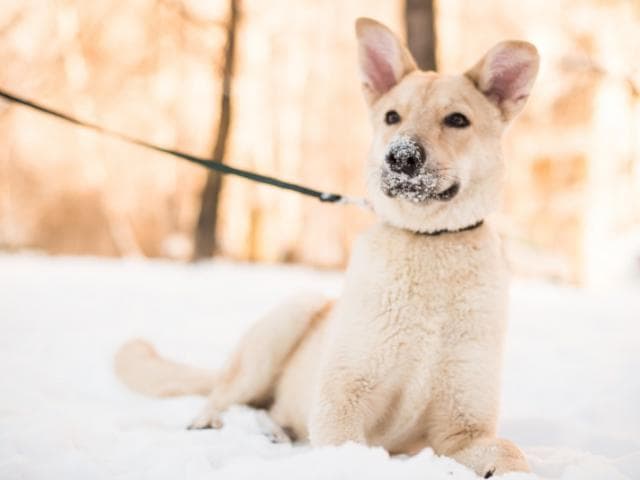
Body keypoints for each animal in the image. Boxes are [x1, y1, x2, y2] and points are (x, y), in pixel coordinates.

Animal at [116, 16, 540, 478]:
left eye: (457, 120)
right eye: (392, 117)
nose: (401, 157)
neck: (428, 243)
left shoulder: (464, 429)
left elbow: (511, 455)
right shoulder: (341, 403)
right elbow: (348, 452)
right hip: (290, 316)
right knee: (226, 396)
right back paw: (214, 422)